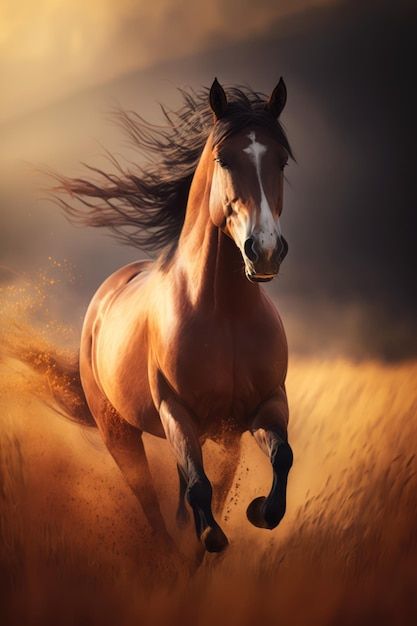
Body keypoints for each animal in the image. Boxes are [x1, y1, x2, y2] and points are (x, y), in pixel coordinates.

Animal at [56, 78, 292, 552]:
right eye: (224, 159)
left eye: (281, 160)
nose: (265, 251)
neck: (226, 314)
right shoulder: (176, 412)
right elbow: (199, 491)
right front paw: (207, 538)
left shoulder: (264, 406)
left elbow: (281, 457)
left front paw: (258, 510)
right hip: (120, 435)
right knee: (150, 501)